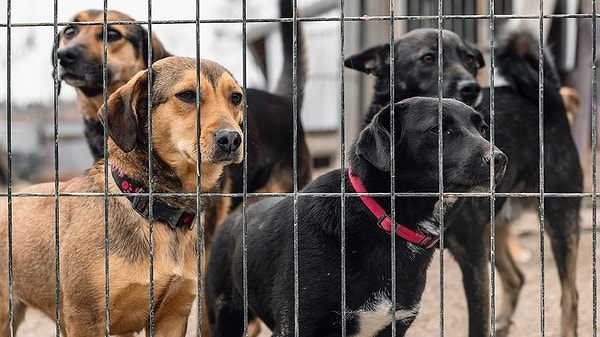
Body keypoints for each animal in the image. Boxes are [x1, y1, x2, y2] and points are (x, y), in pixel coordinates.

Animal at [1, 56, 244, 336]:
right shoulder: (85, 318)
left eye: (236, 97)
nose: (231, 139)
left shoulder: (173, 314)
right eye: (187, 95)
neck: (151, 206)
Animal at [205, 97, 506, 336]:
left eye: (482, 129)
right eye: (438, 129)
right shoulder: (298, 325)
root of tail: (234, 220)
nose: (500, 159)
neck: (383, 220)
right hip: (225, 318)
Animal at [344, 28, 584, 336]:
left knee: (570, 295)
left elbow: (478, 322)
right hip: (493, 228)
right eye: (428, 58)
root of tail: (547, 94)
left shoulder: (473, 256)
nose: (471, 88)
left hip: (559, 217)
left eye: (469, 59)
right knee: (516, 277)